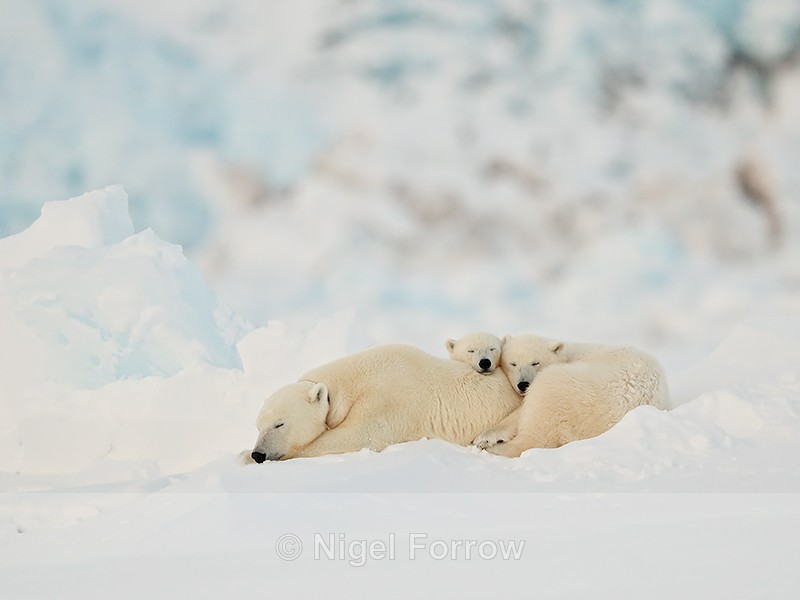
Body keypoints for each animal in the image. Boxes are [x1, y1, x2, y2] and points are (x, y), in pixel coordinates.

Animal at [473, 333, 670, 457]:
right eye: (513, 363)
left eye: (536, 362)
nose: (523, 385)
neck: (568, 353)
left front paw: (485, 437)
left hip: (571, 389)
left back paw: (496, 448)